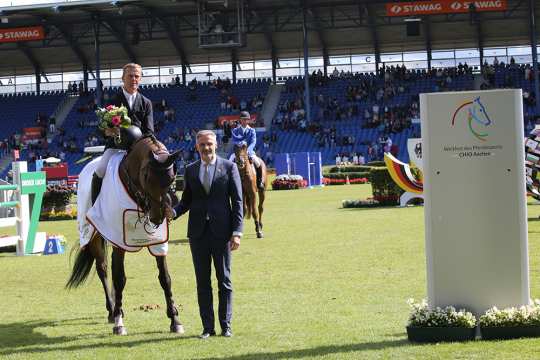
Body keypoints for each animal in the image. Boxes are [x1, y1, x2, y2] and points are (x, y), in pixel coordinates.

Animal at [64, 135, 184, 334]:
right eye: (146, 176)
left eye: (172, 178)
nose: (157, 217)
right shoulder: (118, 240)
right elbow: (119, 278)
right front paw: (119, 322)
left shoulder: (159, 241)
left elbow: (165, 278)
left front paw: (175, 320)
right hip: (94, 235)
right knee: (103, 269)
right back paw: (112, 311)